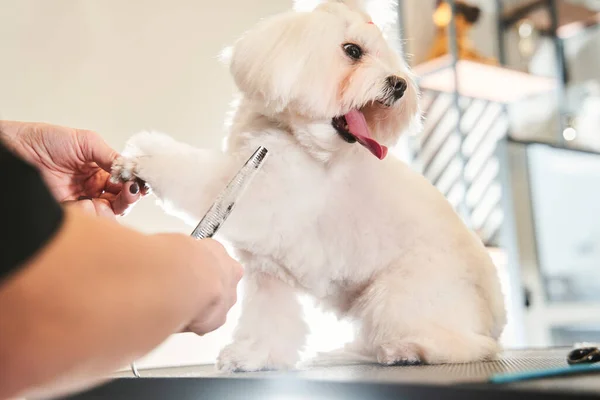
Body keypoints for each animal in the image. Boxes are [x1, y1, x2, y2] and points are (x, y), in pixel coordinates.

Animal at [111, 0, 506, 372]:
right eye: (353, 51)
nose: (399, 84)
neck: (294, 135)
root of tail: (494, 311)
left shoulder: (257, 192)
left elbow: (193, 174)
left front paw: (141, 159)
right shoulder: (267, 271)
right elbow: (268, 317)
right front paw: (254, 356)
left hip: (398, 295)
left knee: (467, 345)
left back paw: (405, 350)